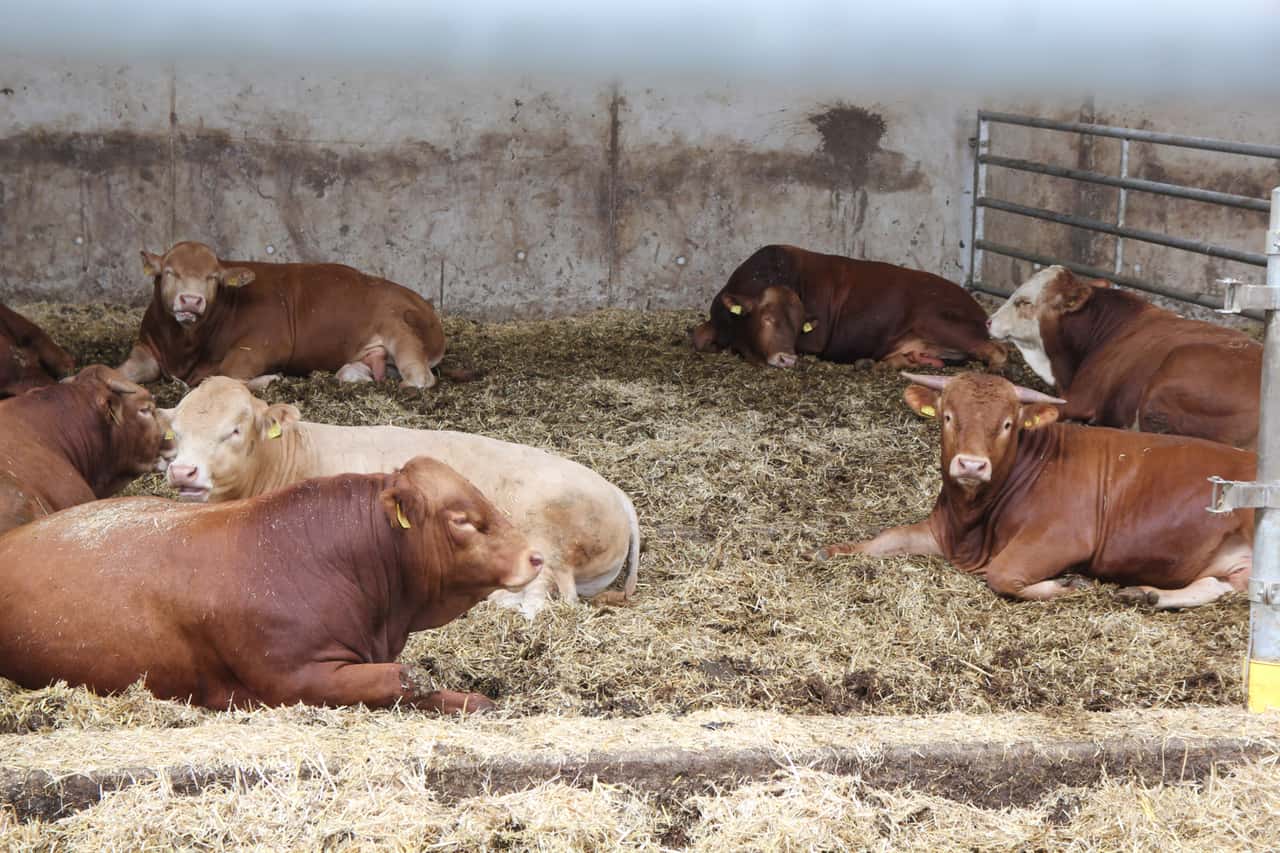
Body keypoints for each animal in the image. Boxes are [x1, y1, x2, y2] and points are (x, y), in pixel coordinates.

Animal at [117, 240, 446, 390]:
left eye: (213, 278)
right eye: (169, 272)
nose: (191, 300)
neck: (185, 351)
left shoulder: (260, 345)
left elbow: (223, 377)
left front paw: (269, 379)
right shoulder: (147, 348)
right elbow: (122, 372)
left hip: (401, 329)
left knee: (420, 377)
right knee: (351, 371)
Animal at [159, 377, 640, 618]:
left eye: (235, 429)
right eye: (174, 432)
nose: (183, 471)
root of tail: (616, 491)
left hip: (547, 538)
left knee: (545, 598)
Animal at [690, 245, 1006, 370]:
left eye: (799, 326)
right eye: (766, 318)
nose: (786, 359)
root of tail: (978, 309)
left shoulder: (814, 343)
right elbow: (698, 337)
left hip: (940, 320)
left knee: (997, 352)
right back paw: (871, 364)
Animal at [816, 372, 1255, 609]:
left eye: (1008, 424)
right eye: (948, 416)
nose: (971, 465)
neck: (971, 525)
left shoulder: (1063, 536)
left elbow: (1002, 574)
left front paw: (1067, 585)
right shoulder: (940, 529)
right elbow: (888, 537)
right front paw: (833, 550)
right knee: (1219, 586)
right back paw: (1146, 594)